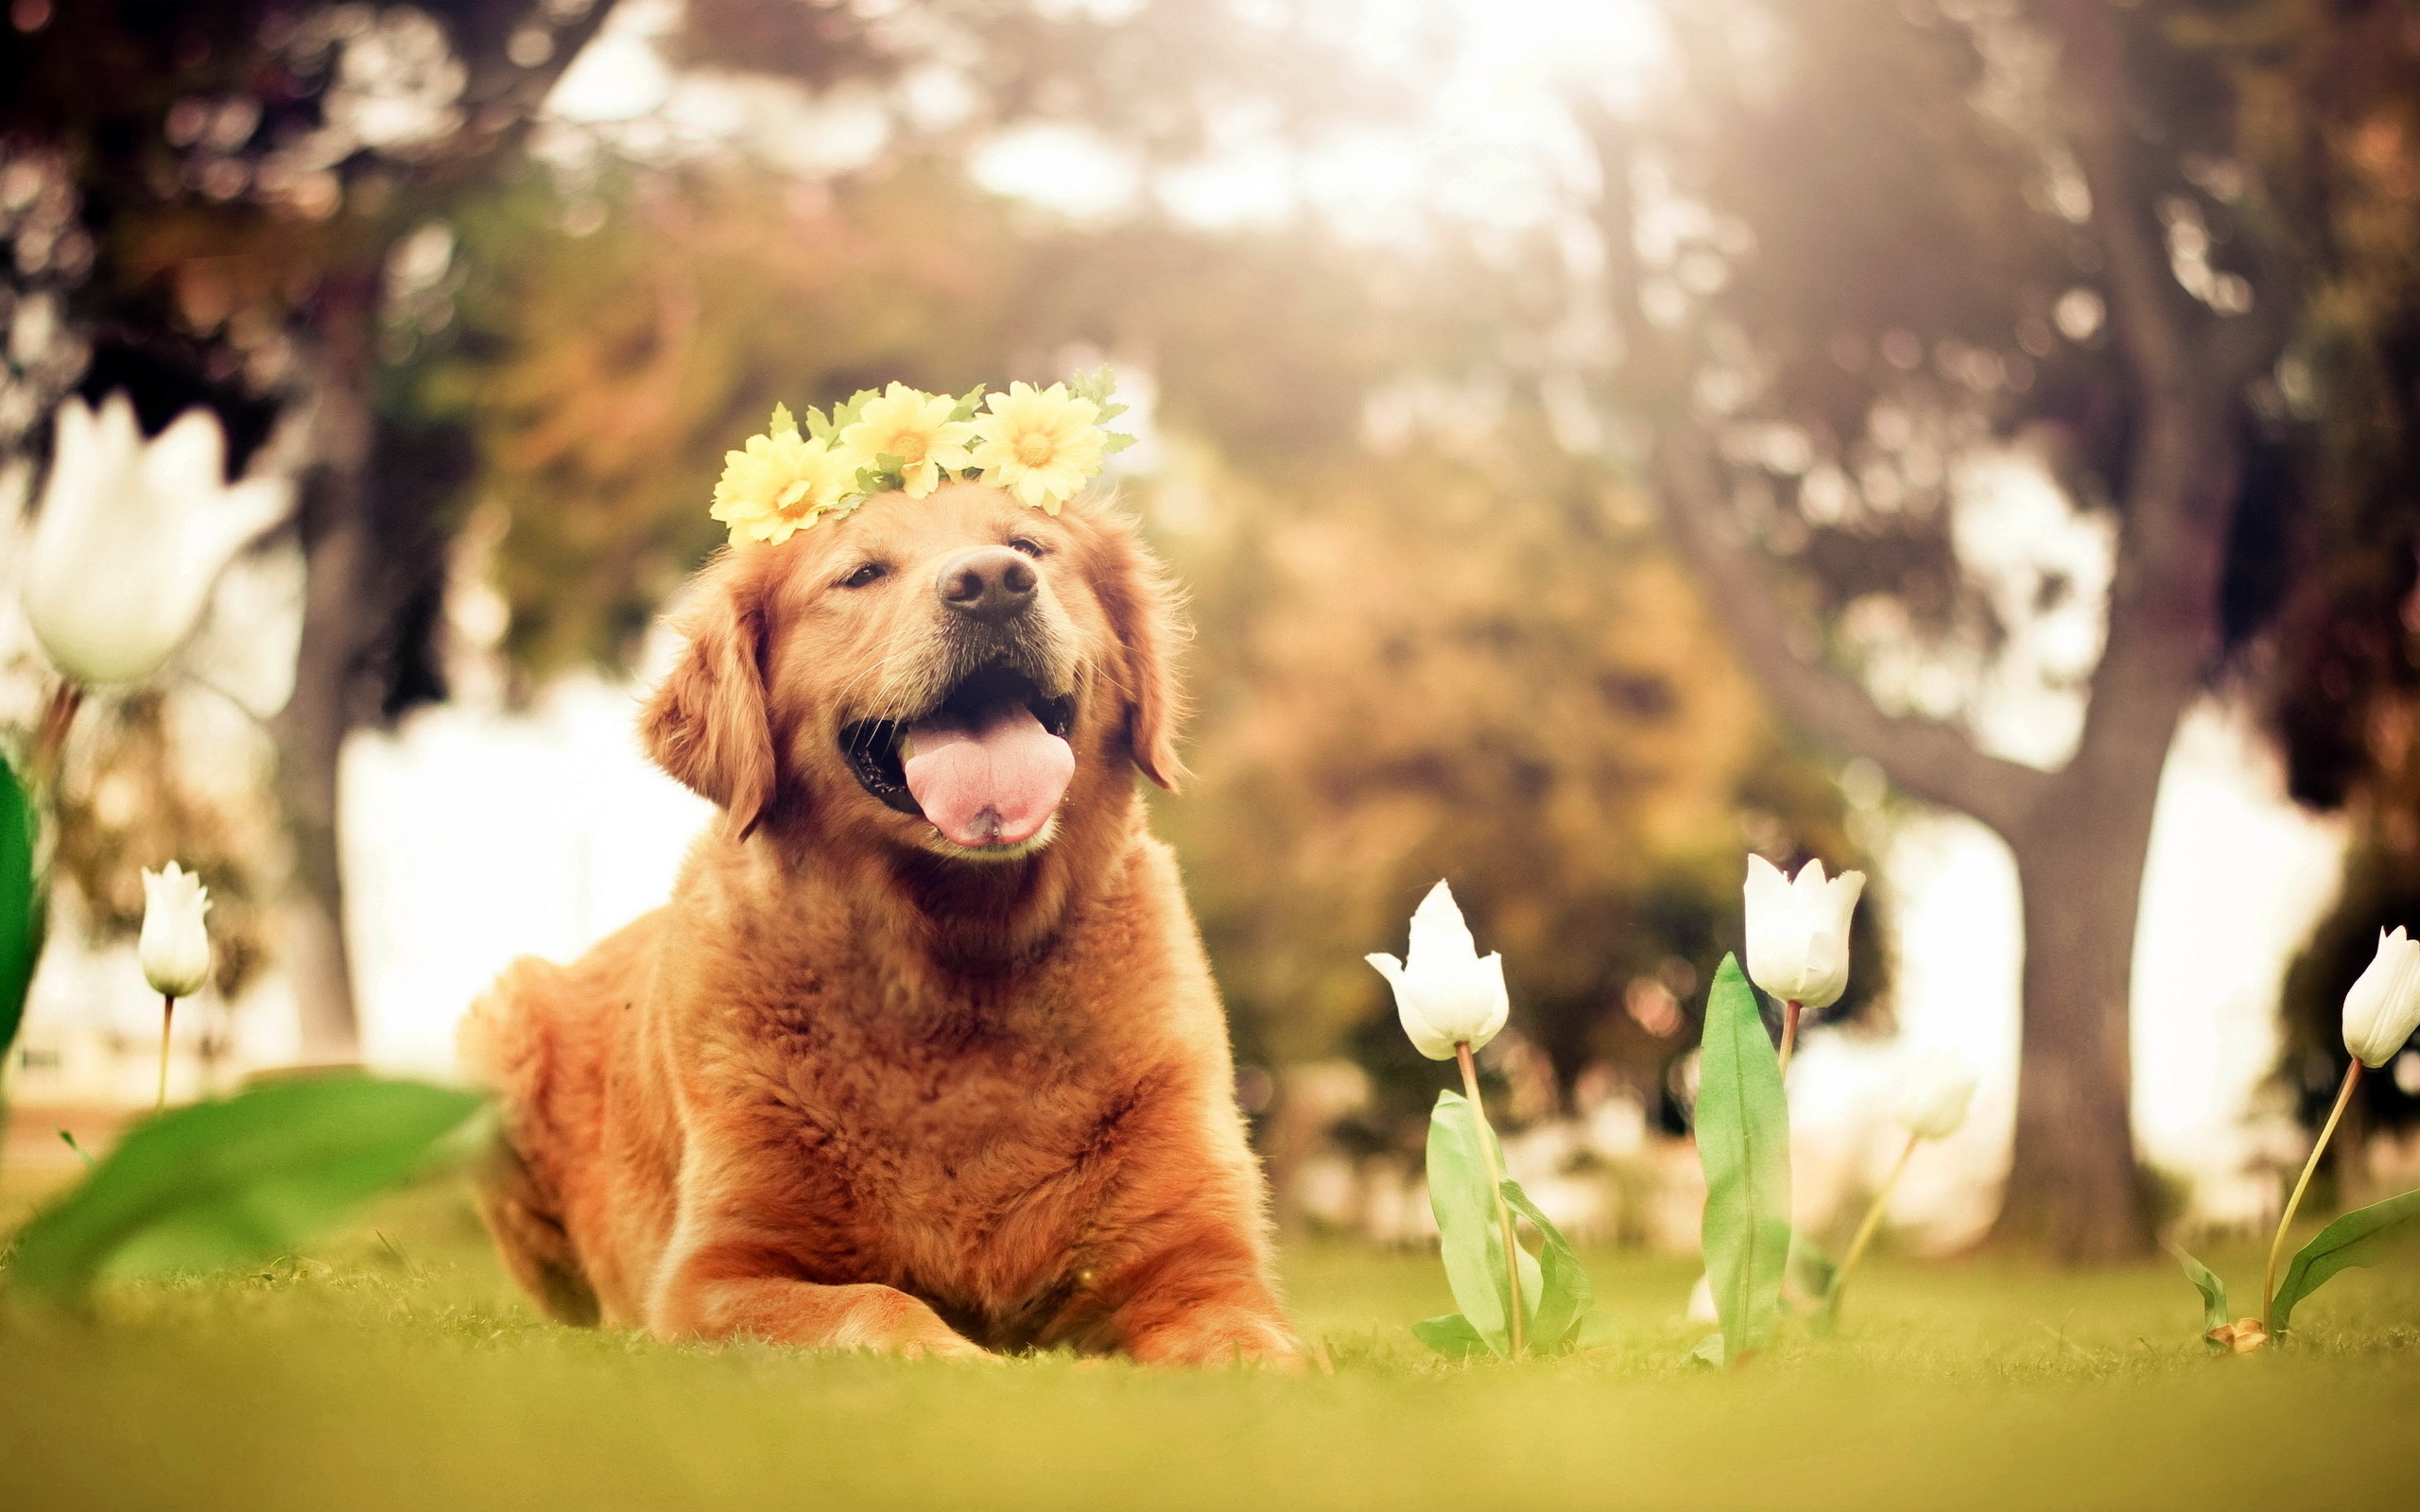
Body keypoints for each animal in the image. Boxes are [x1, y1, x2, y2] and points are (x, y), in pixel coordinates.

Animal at [452, 484, 1287, 1364]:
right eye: (861, 573)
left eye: (1029, 545)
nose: (993, 584)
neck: (958, 963)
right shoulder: (714, 1276)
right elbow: (876, 1305)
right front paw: (964, 1361)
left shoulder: (1203, 1264)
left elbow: (1250, 1344)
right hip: (500, 1028)